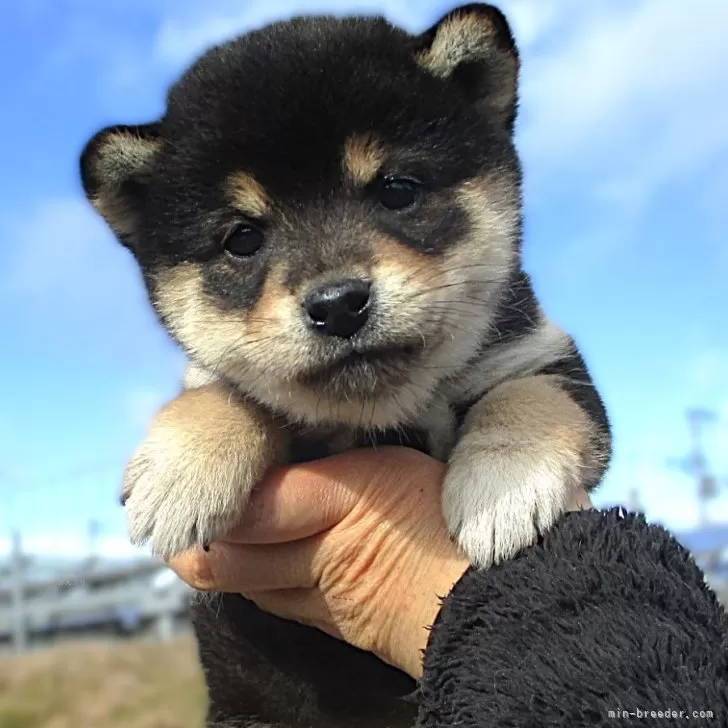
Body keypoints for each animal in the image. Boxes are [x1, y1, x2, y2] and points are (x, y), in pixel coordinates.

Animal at [82, 2, 612, 724]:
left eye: (397, 190)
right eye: (241, 238)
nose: (337, 305)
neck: (379, 416)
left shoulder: (539, 353)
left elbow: (526, 398)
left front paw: (504, 485)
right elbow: (225, 389)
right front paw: (183, 471)